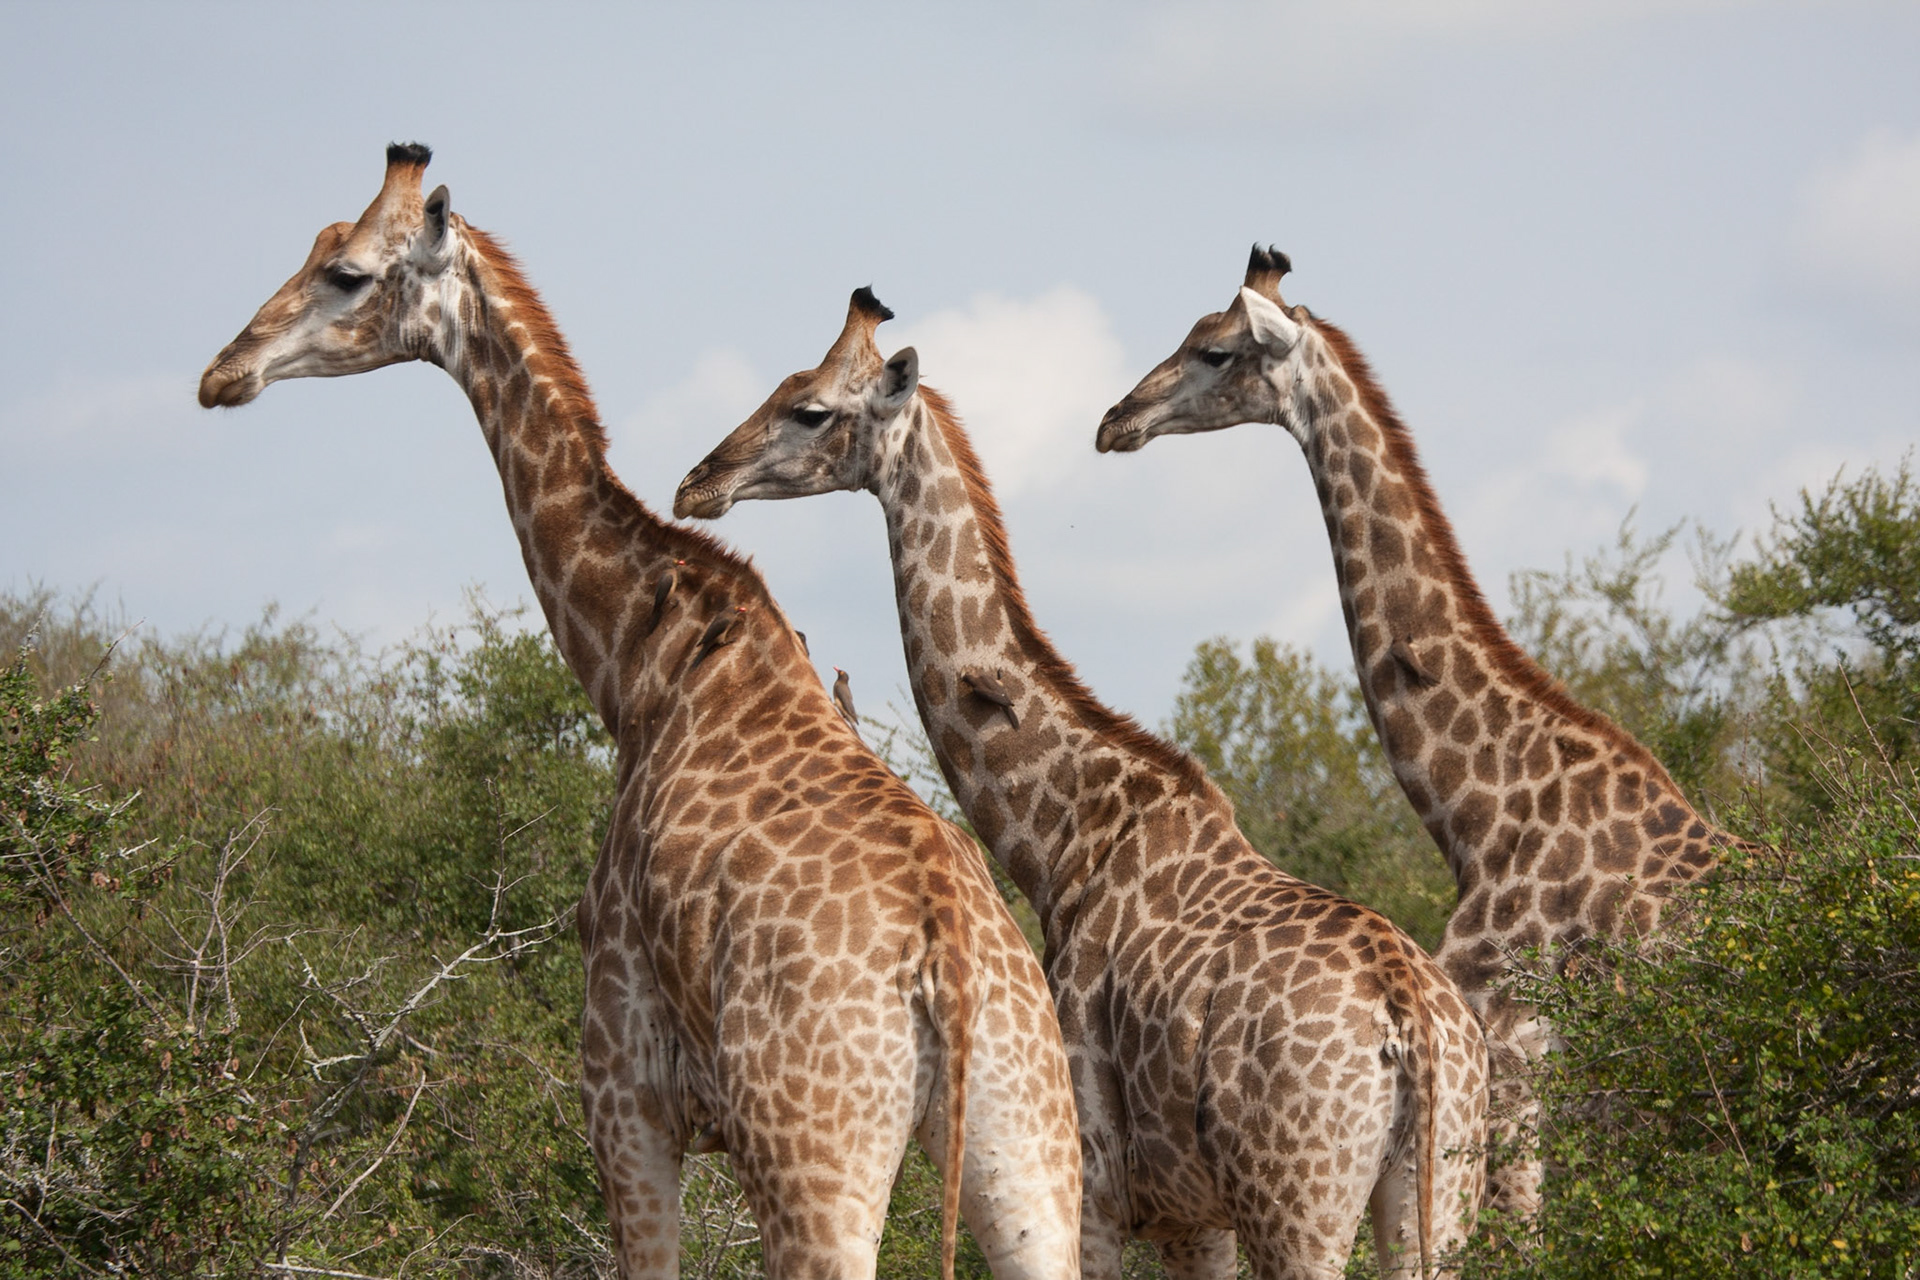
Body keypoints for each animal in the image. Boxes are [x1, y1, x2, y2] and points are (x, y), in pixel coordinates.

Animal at [196, 145, 1083, 1280]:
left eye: (345, 272)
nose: (224, 372)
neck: (635, 658)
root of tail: (952, 960)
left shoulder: (620, 1087)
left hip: (817, 1156)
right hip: (1030, 1149)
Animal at [673, 289, 1490, 1280]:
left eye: (810, 410)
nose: (697, 482)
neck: (1060, 839)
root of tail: (1413, 1024)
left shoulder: (1097, 1184)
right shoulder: (1196, 1218)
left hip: (1297, 1205)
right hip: (1435, 1196)